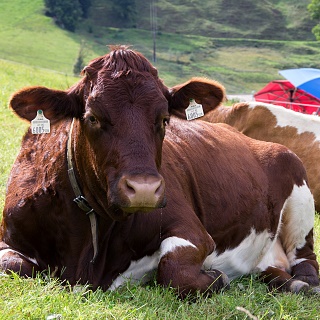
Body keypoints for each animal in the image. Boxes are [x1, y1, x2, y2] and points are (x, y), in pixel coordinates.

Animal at [0, 46, 320, 298]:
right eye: (92, 117)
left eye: (165, 119)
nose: (143, 189)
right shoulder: (9, 239)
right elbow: (13, 265)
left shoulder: (194, 231)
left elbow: (175, 271)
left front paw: (217, 277)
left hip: (299, 191)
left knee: (306, 258)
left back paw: (302, 284)